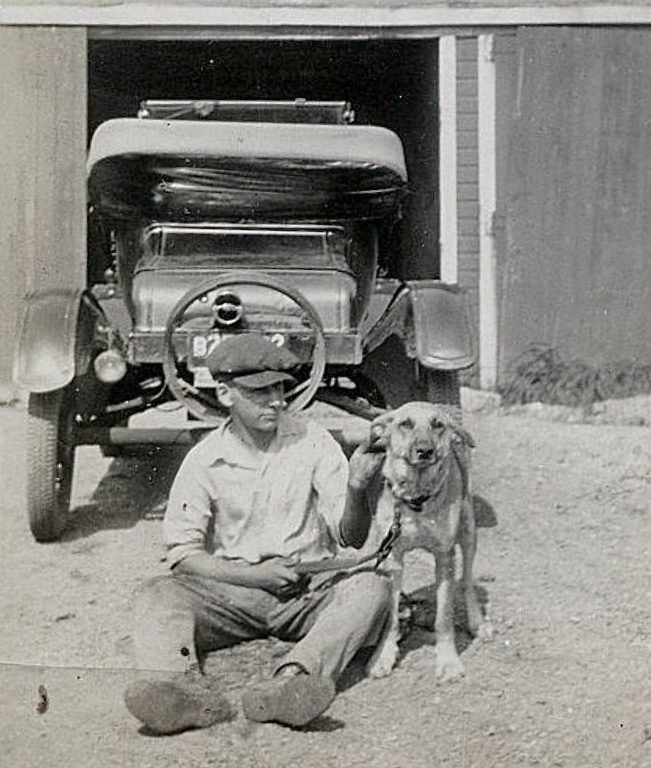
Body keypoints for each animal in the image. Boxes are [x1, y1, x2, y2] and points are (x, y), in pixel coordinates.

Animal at [362, 401, 492, 681]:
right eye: (405, 424)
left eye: (437, 425)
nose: (425, 451)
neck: (416, 500)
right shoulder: (393, 558)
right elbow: (391, 617)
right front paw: (383, 656)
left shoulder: (444, 556)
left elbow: (444, 617)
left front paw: (448, 661)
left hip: (468, 531)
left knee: (467, 582)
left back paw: (477, 622)